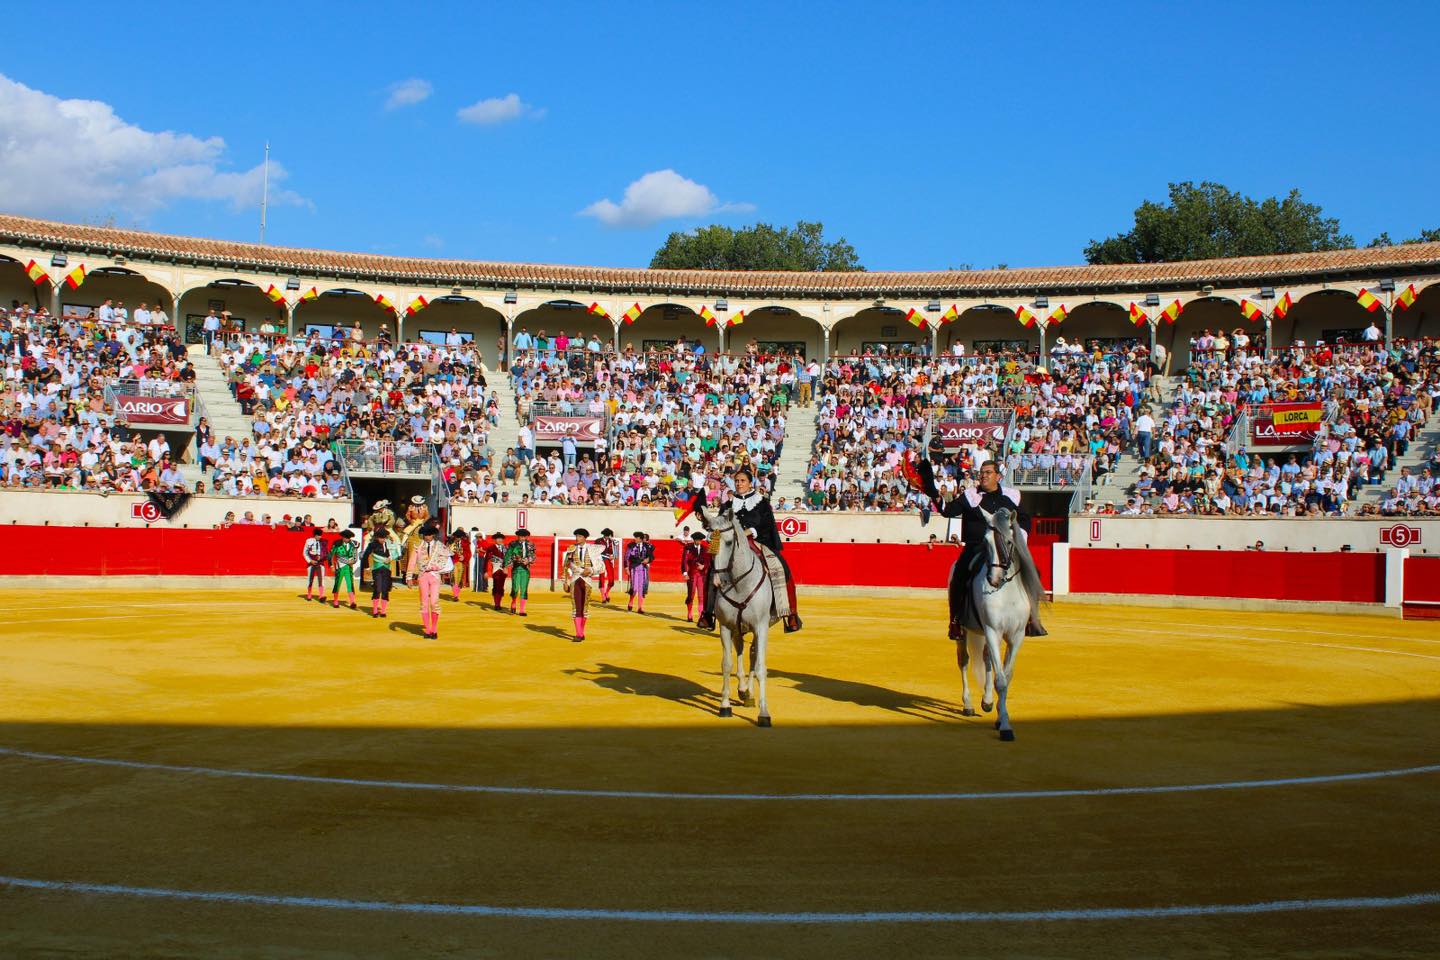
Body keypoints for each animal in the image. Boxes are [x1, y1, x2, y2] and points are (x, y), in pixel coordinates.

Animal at [699, 503, 777, 728]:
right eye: (708, 541)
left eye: (728, 542)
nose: (718, 581)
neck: (739, 582)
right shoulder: (725, 626)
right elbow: (727, 664)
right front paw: (725, 706)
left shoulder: (761, 627)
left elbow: (760, 667)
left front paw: (764, 713)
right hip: (738, 627)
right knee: (742, 650)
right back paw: (743, 691)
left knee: (752, 654)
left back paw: (748, 693)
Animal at [956, 506, 1036, 742]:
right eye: (986, 541)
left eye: (1009, 541)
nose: (993, 579)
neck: (1006, 590)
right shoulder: (992, 631)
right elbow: (1001, 680)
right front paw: (1006, 727)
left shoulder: (1016, 636)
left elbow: (1006, 677)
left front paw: (1001, 718)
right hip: (963, 630)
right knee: (964, 660)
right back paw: (968, 704)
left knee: (986, 660)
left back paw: (987, 701)